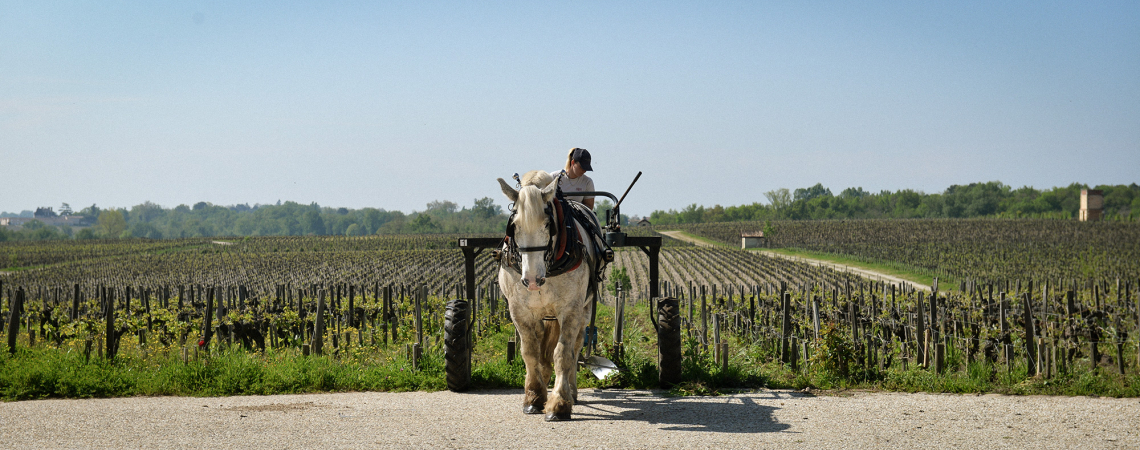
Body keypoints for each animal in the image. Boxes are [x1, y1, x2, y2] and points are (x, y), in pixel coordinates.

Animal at [496, 170, 600, 422]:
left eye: (547, 224)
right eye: (514, 225)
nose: (532, 280)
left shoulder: (571, 310)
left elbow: (562, 354)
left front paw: (559, 403)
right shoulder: (519, 311)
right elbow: (531, 353)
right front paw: (534, 396)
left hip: (584, 311)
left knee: (575, 347)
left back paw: (571, 391)